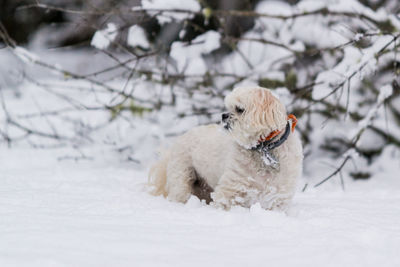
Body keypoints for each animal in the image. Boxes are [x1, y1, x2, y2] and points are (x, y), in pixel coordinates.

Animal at [148, 87, 302, 210]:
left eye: (239, 109)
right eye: (228, 108)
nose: (223, 115)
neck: (264, 149)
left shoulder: (278, 194)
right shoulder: (232, 188)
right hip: (182, 177)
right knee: (180, 192)